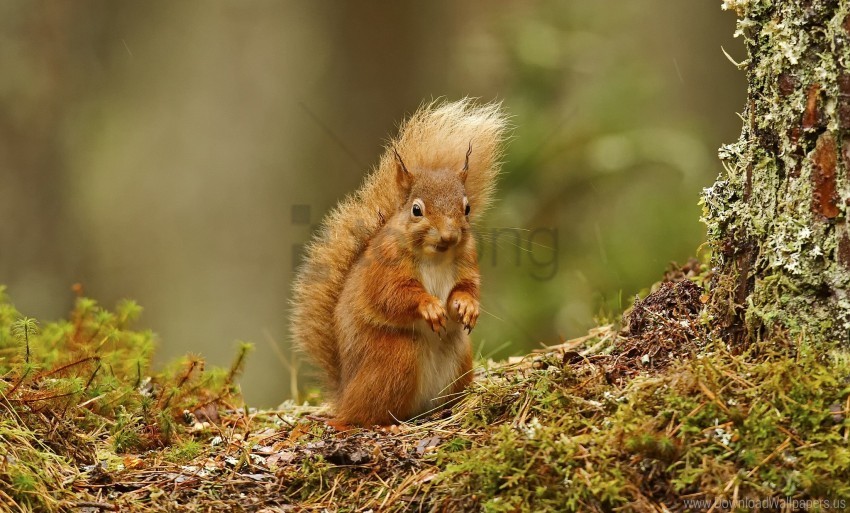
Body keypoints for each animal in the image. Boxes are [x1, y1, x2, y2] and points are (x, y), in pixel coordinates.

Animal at [288, 99, 506, 424]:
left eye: (466, 208)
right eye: (416, 210)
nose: (449, 236)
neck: (435, 256)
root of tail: (345, 393)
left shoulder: (467, 260)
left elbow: (468, 287)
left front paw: (466, 306)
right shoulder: (383, 266)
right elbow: (390, 296)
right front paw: (429, 307)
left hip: (460, 359)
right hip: (397, 359)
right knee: (360, 418)